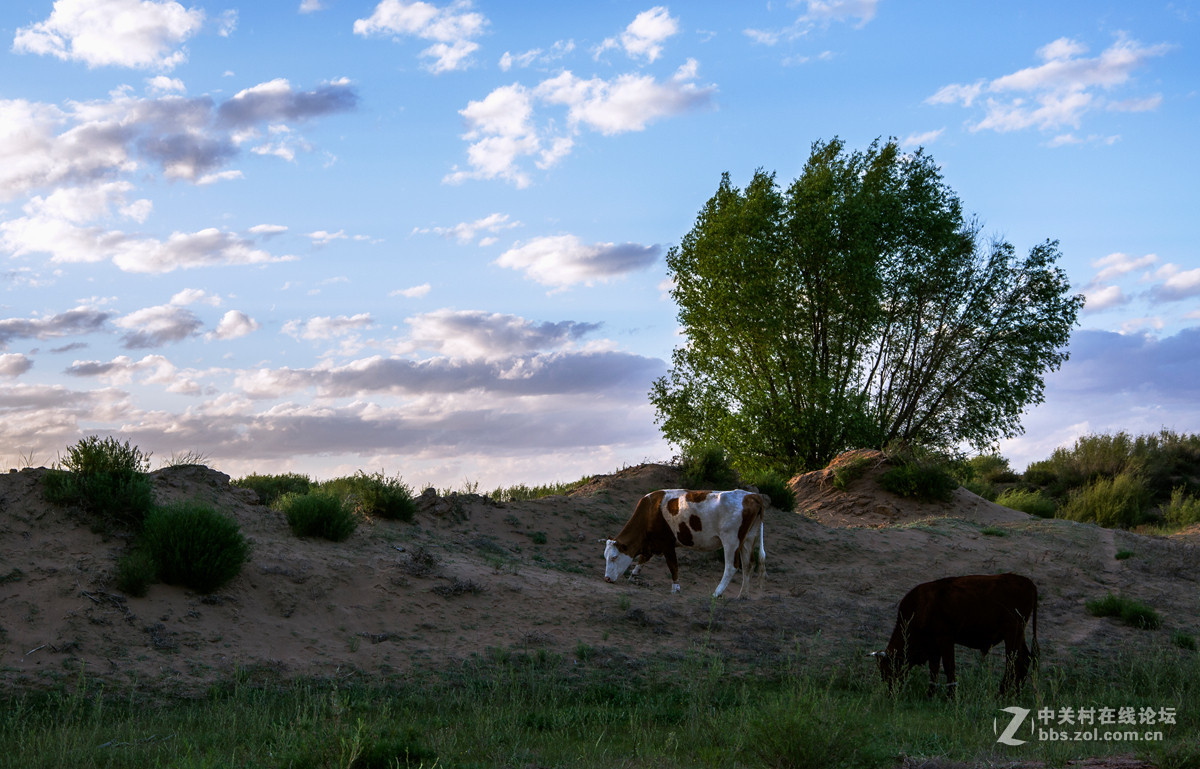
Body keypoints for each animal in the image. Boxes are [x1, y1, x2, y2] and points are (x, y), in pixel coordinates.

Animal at [600, 489, 768, 597]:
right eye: (605, 557)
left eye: (614, 557)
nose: (606, 578)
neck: (650, 510)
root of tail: (751, 495)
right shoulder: (653, 543)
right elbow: (643, 559)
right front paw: (633, 575)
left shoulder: (667, 543)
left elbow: (673, 565)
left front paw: (675, 588)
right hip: (747, 538)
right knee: (749, 564)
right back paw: (743, 595)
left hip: (731, 540)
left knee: (732, 566)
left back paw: (717, 593)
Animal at [873, 571, 1041, 695]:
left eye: (888, 671)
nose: (891, 693)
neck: (921, 606)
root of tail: (1027, 582)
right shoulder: (934, 647)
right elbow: (934, 670)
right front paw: (930, 694)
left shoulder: (945, 640)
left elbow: (949, 668)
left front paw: (951, 696)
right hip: (1018, 635)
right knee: (1024, 659)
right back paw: (1016, 694)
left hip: (1011, 634)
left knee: (1013, 662)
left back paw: (1000, 694)